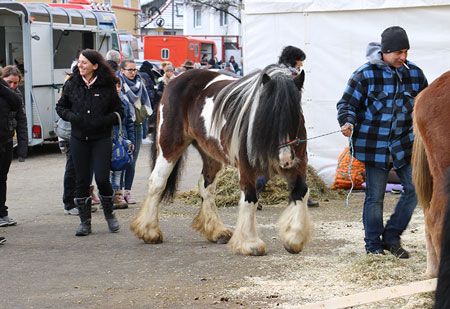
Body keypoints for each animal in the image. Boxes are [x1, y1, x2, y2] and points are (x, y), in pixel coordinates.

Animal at [130, 63, 312, 254]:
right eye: (267, 116)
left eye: (297, 115)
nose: (285, 158)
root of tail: (174, 81)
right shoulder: (247, 169)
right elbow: (250, 198)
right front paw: (250, 243)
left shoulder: (297, 167)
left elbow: (301, 192)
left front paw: (294, 238)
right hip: (169, 146)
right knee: (157, 183)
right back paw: (149, 231)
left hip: (210, 154)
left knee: (206, 188)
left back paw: (217, 231)